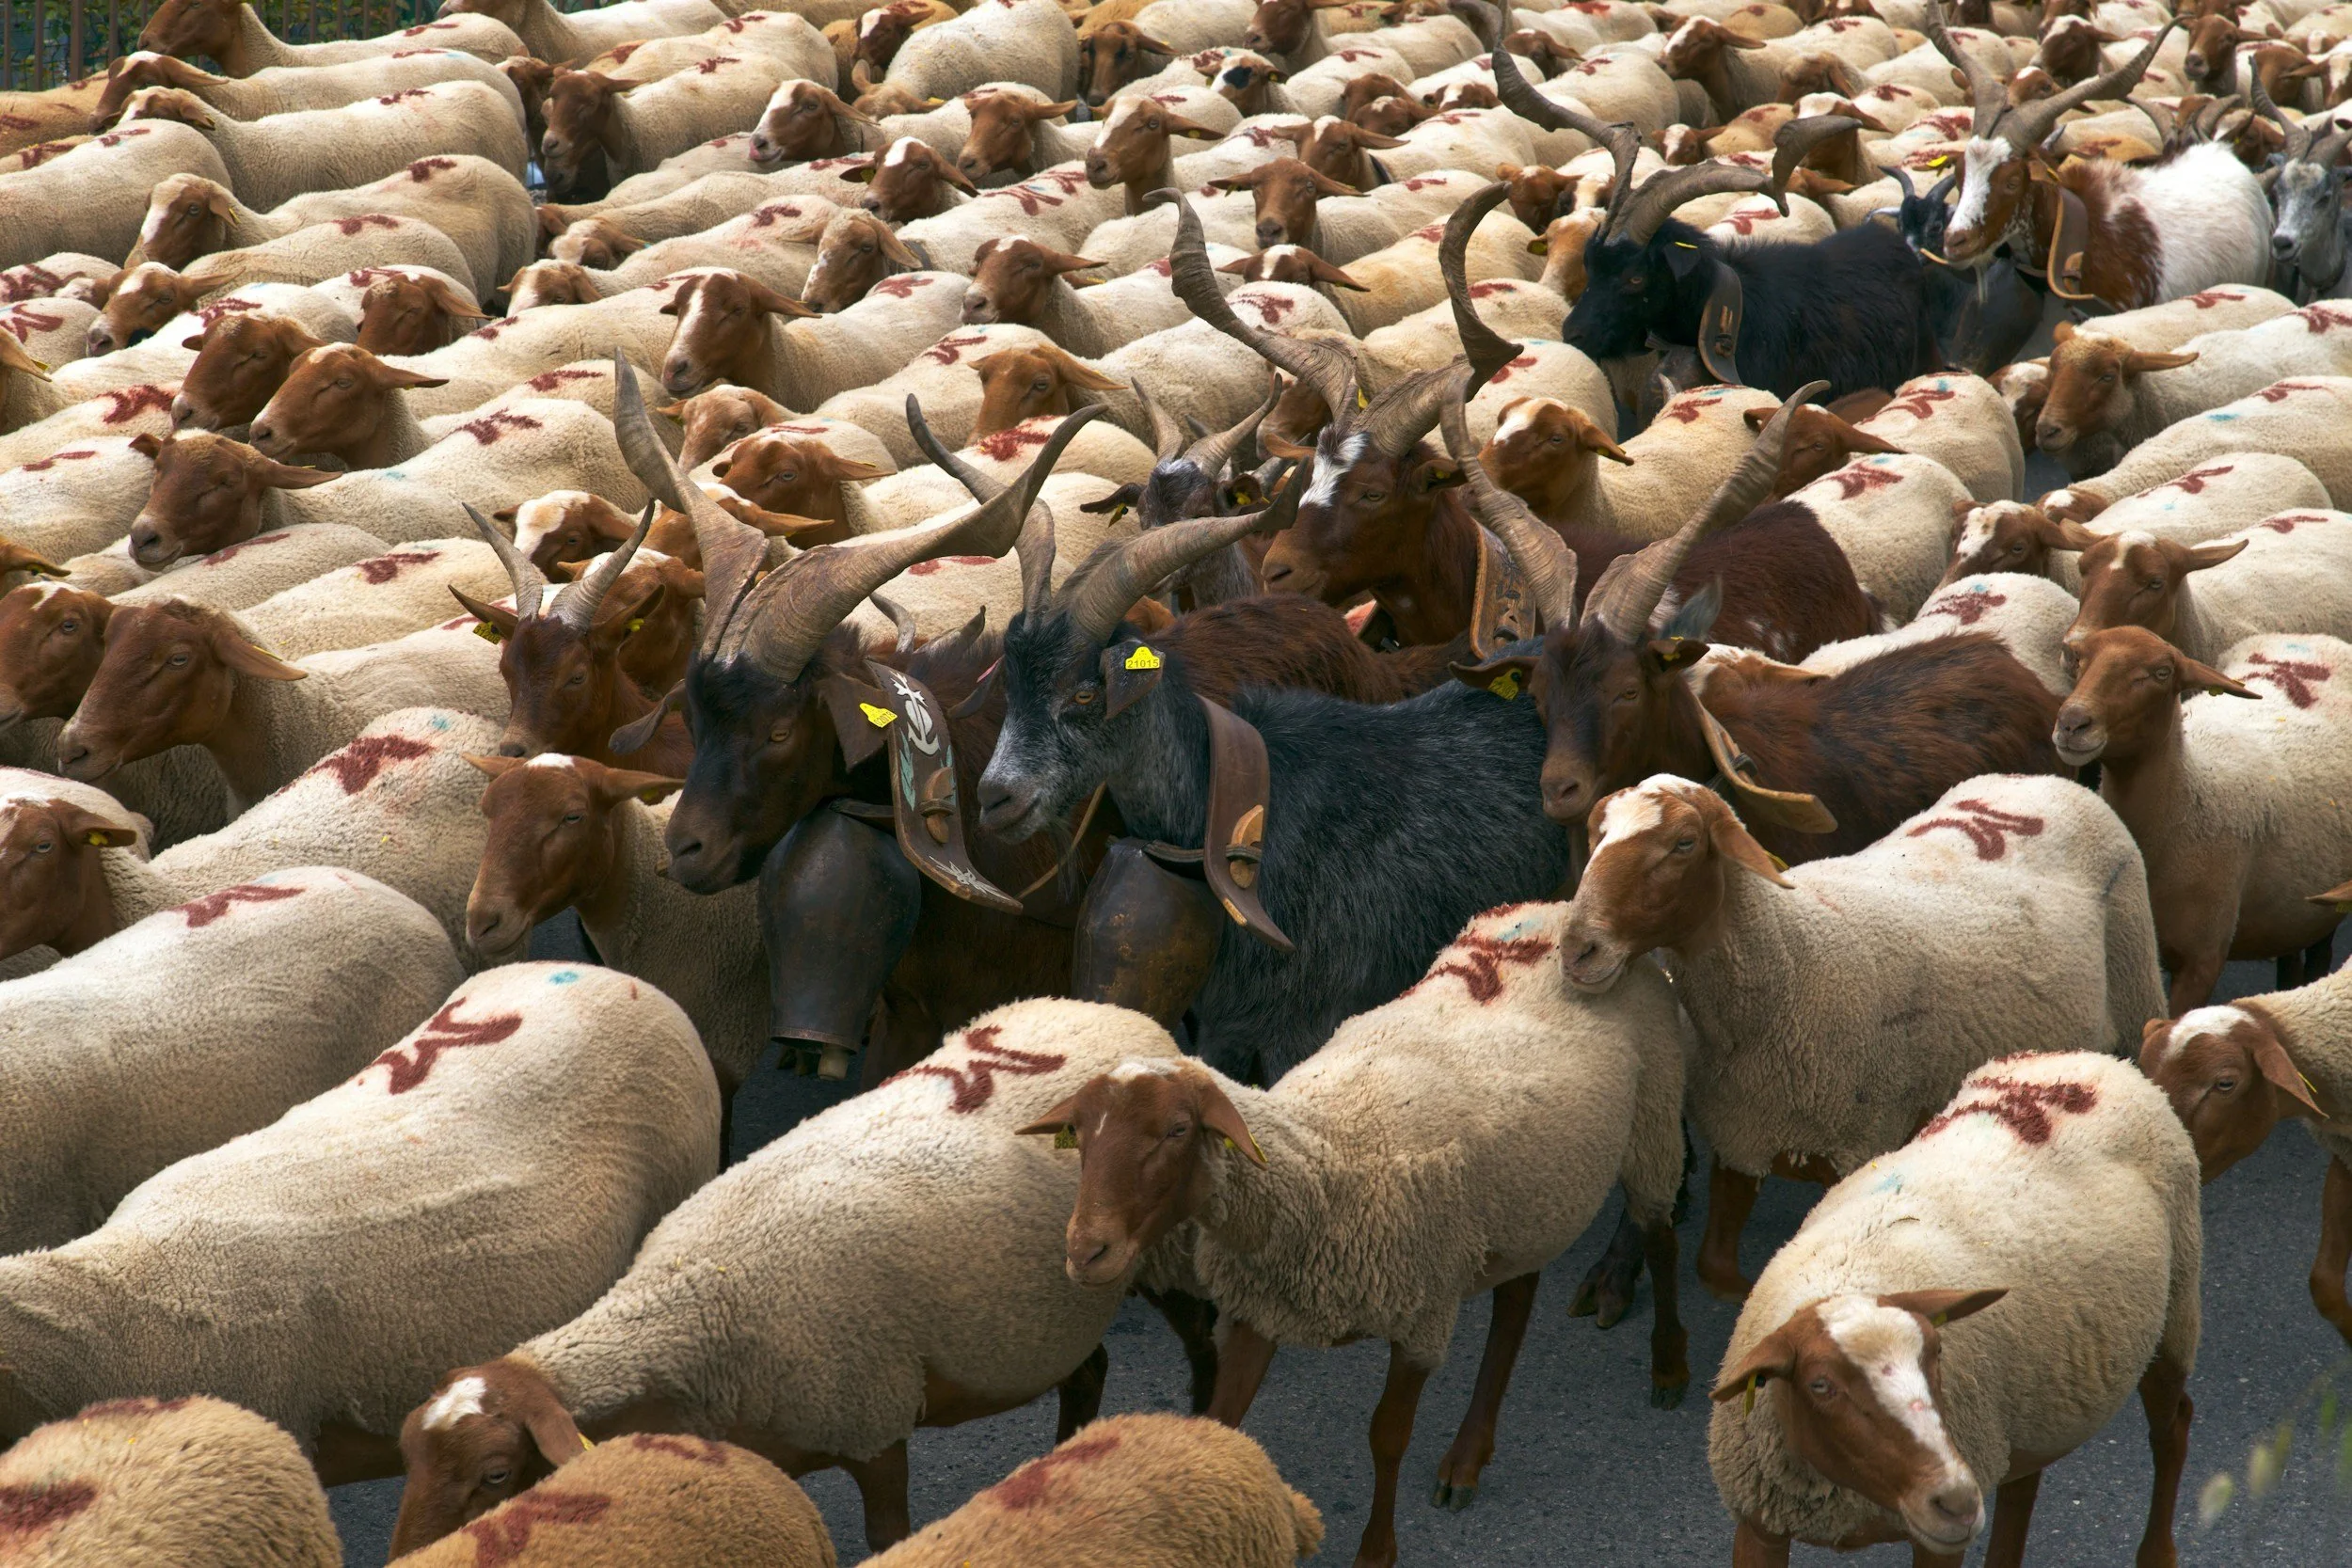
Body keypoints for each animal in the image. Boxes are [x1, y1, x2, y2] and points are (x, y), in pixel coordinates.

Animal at [1029, 902, 1686, 1562]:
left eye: (1177, 1130)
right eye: (1079, 1135)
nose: (1085, 1251)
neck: (1324, 1155)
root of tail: (1556, 910)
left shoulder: (1421, 1317)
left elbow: (1388, 1436)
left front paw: (1376, 1551)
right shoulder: (1258, 1311)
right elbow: (1222, 1419)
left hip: (1652, 1120)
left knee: (1661, 1238)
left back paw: (1669, 1368)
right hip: (1531, 1197)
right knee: (1515, 1308)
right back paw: (1468, 1459)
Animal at [1558, 772, 2166, 1300]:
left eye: (1684, 843)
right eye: (1594, 836)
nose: (1577, 950)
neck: (1789, 955)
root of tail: (2043, 779)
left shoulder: (1861, 1145)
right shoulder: (1741, 1138)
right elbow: (1715, 1270)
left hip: (2137, 987)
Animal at [1708, 1052, 2199, 1568]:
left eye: (1937, 1354)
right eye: (1820, 1385)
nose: (1958, 1502)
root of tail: (2096, 1060)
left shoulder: (1940, 1537)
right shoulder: (1760, 1524)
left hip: (2176, 1309)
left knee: (2172, 1428)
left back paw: (2158, 1551)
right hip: (2032, 1395)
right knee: (2023, 1482)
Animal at [2055, 628, 2352, 1010]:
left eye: (2162, 673)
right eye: (2080, 660)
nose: (2072, 722)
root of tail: (2313, 637)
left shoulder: (2202, 962)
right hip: (2293, 909)